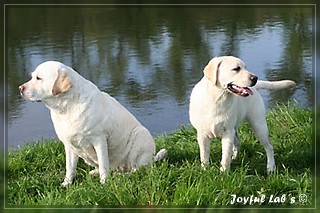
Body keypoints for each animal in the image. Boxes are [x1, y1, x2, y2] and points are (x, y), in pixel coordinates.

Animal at [19, 60, 168, 186]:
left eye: (39, 78)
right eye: (33, 77)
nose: (20, 88)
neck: (66, 107)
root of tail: (152, 159)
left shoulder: (99, 140)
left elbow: (103, 164)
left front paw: (104, 184)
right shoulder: (69, 145)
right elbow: (70, 168)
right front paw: (66, 184)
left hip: (141, 134)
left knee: (137, 169)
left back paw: (123, 176)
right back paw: (95, 172)